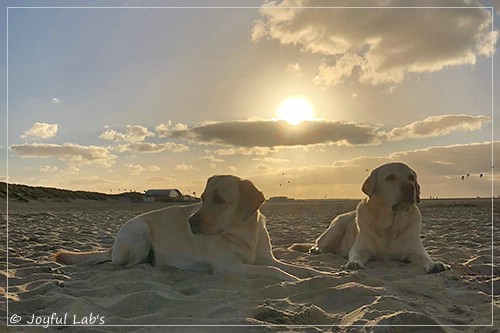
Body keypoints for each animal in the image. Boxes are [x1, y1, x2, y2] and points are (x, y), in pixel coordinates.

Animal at [52, 174, 322, 280]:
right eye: (202, 198)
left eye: (219, 200)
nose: (191, 221)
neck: (244, 231)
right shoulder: (228, 266)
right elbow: (275, 271)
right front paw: (291, 279)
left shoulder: (267, 257)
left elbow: (294, 267)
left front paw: (319, 274)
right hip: (139, 230)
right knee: (124, 265)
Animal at [290, 162, 450, 274]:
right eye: (390, 178)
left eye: (411, 177)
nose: (410, 187)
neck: (390, 226)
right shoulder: (360, 249)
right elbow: (355, 256)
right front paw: (354, 263)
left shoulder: (416, 252)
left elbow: (426, 258)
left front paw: (435, 264)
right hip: (336, 228)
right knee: (318, 243)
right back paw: (316, 250)